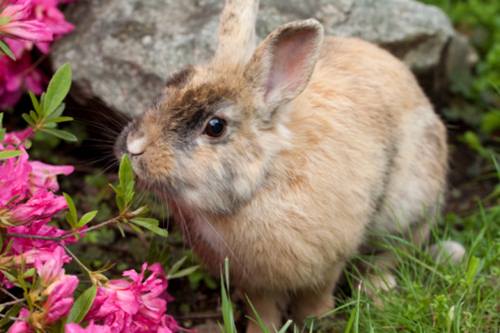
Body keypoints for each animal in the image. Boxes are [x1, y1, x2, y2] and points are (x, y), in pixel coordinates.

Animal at [114, 0, 464, 330]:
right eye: (169, 87)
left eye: (215, 126)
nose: (133, 147)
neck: (263, 180)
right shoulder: (256, 281)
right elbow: (263, 308)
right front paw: (260, 330)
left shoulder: (329, 259)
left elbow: (317, 294)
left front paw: (316, 320)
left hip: (408, 210)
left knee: (389, 255)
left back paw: (378, 290)